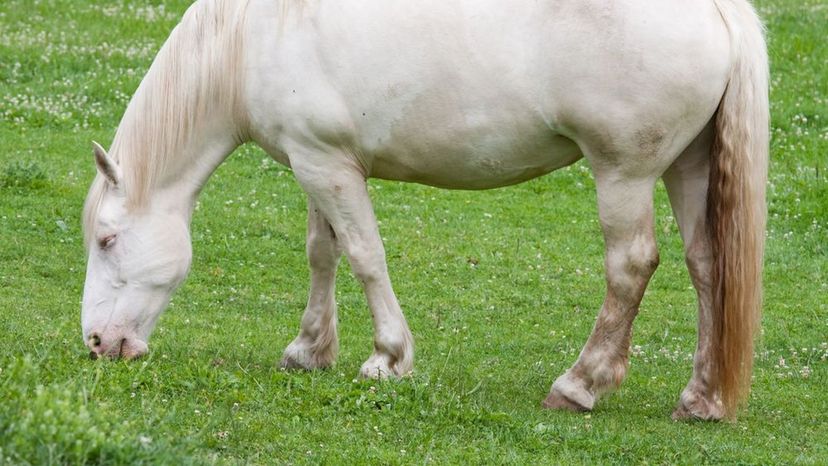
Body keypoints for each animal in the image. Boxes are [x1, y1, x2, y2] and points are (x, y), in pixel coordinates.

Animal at [79, 0, 768, 420]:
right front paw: (309, 350)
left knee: (630, 267)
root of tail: (715, 11)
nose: (99, 343)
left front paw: (388, 358)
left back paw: (579, 384)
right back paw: (701, 398)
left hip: (624, 175)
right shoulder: (315, 163)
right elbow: (322, 253)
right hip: (688, 168)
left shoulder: (327, 166)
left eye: (107, 240)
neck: (254, 38)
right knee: (707, 267)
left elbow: (364, 256)